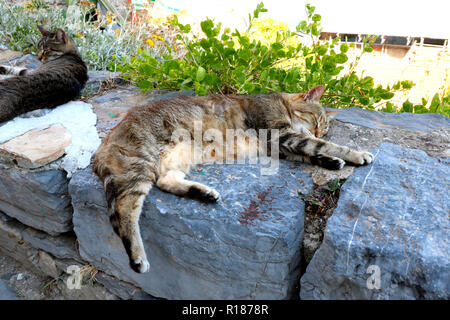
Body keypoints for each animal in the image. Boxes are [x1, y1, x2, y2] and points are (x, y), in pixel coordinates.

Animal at [94, 84, 372, 272]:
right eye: (316, 120)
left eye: (323, 127)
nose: (317, 130)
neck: (279, 102)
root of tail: (102, 145)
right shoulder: (282, 136)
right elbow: (322, 146)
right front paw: (356, 154)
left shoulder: (280, 147)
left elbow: (314, 152)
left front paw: (332, 161)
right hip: (141, 165)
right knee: (125, 209)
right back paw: (137, 257)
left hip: (179, 158)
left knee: (165, 182)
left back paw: (203, 193)